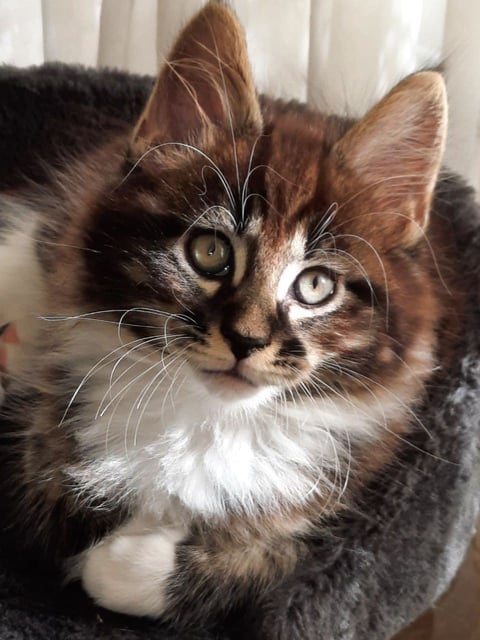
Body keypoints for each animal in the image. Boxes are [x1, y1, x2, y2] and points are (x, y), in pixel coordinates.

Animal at [0, 1, 464, 632]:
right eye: (209, 252)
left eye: (315, 286)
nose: (246, 340)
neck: (210, 417)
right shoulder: (45, 422)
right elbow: (48, 488)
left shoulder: (346, 510)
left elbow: (262, 559)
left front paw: (120, 563)